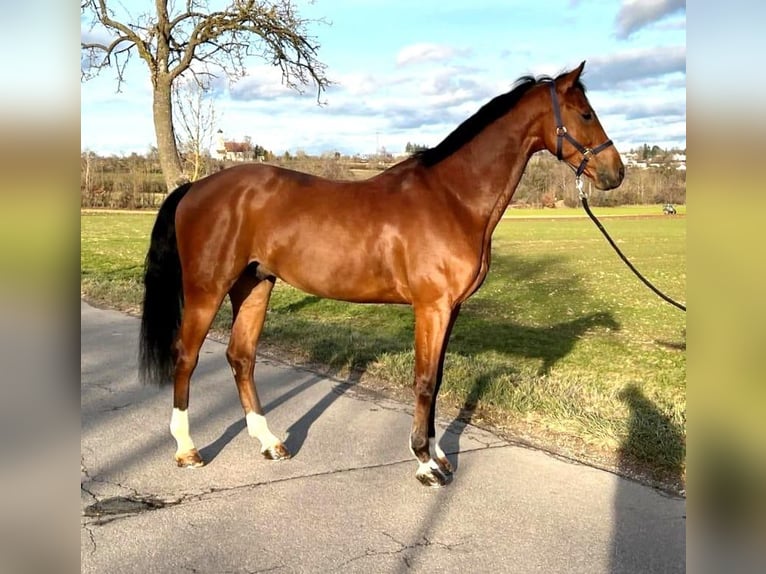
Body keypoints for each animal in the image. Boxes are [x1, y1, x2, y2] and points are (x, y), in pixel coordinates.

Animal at [142, 60, 624, 488]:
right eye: (585, 113)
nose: (615, 172)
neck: (452, 198)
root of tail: (196, 188)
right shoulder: (431, 308)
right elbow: (425, 381)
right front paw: (425, 464)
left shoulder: (450, 310)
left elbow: (438, 379)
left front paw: (439, 455)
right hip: (207, 289)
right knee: (186, 357)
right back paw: (187, 449)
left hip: (255, 284)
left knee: (241, 358)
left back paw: (270, 442)